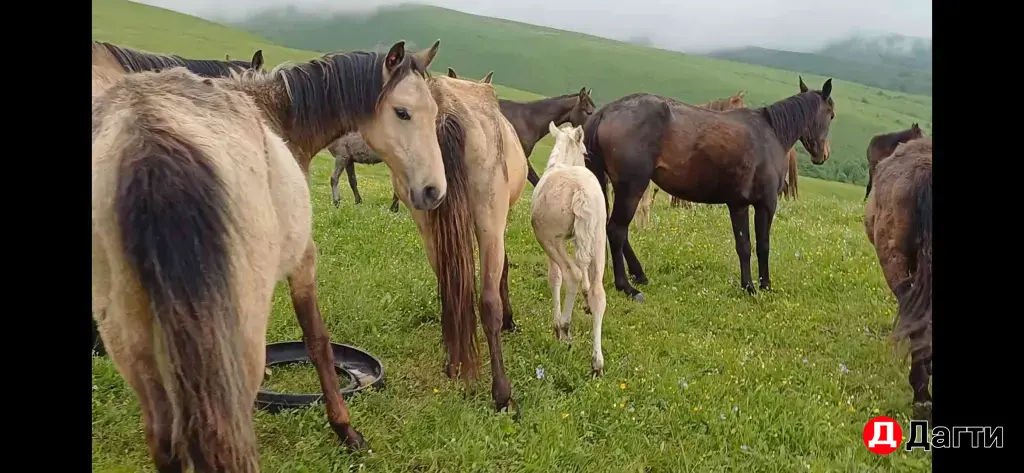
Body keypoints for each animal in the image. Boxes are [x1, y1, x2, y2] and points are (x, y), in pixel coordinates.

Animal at [391, 70, 529, 413]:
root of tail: (445, 109)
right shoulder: (499, 223)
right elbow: (503, 271)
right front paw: (510, 320)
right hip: (488, 218)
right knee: (488, 301)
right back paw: (502, 393)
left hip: (426, 221)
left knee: (449, 288)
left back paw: (453, 364)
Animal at [530, 122, 607, 375]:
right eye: (584, 152)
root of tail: (580, 191)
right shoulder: (579, 238)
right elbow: (584, 271)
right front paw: (585, 298)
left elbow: (555, 277)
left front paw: (556, 321)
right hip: (598, 237)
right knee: (599, 293)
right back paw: (597, 362)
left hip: (549, 239)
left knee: (569, 273)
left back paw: (563, 327)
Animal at [585, 77, 835, 301]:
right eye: (831, 114)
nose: (823, 155)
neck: (770, 135)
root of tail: (606, 111)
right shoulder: (766, 204)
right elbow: (763, 245)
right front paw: (765, 286)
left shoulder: (738, 205)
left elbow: (744, 246)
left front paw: (748, 287)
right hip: (632, 189)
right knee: (616, 231)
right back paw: (627, 287)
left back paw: (639, 274)